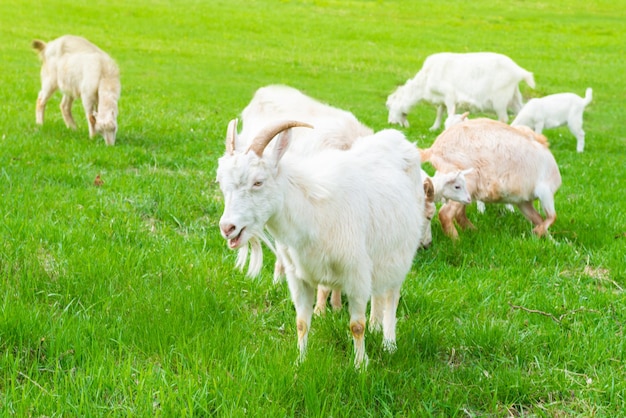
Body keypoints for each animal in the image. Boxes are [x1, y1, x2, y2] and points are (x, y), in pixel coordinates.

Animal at [217, 119, 426, 368]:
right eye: (221, 184)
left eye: (258, 182)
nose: (227, 227)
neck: (312, 212)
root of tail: (399, 139)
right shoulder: (297, 276)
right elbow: (301, 322)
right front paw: (300, 361)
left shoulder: (356, 273)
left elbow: (357, 326)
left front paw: (360, 367)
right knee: (378, 293)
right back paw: (376, 326)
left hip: (401, 252)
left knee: (392, 295)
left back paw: (389, 343)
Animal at [386, 52, 532, 131]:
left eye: (388, 106)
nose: (390, 124)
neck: (424, 82)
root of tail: (518, 72)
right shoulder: (442, 99)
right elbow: (439, 112)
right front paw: (434, 128)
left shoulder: (449, 95)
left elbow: (450, 113)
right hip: (513, 97)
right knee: (521, 112)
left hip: (500, 100)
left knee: (503, 118)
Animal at [420, 119, 560, 240]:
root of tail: (433, 150)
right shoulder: (545, 190)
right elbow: (552, 217)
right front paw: (541, 234)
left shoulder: (523, 202)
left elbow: (538, 219)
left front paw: (550, 240)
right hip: (465, 183)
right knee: (445, 214)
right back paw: (458, 241)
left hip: (461, 191)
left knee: (458, 213)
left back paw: (473, 232)